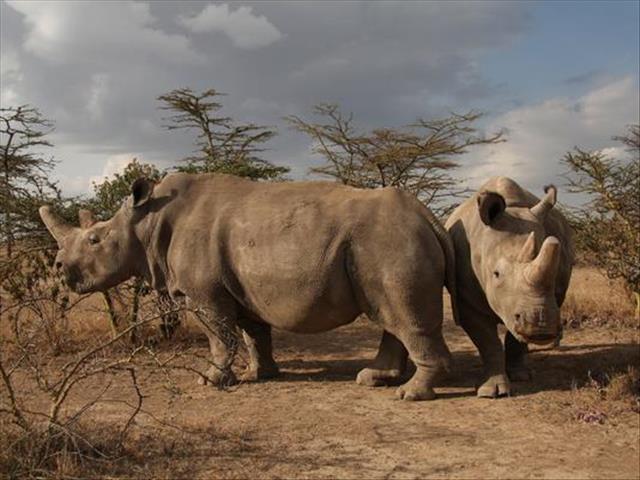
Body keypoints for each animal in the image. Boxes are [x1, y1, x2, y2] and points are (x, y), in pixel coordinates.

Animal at [40, 172, 458, 401]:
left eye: (95, 240)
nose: (58, 266)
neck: (147, 222)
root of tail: (429, 216)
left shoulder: (203, 294)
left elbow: (218, 335)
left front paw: (210, 381)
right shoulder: (242, 288)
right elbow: (253, 332)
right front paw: (260, 374)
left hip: (389, 241)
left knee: (402, 315)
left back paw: (409, 394)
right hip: (385, 241)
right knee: (390, 314)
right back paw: (374, 380)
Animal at [445, 176, 573, 397]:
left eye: (556, 270)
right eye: (496, 274)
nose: (541, 325)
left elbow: (516, 339)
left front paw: (521, 376)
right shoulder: (466, 300)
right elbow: (488, 342)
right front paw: (492, 391)